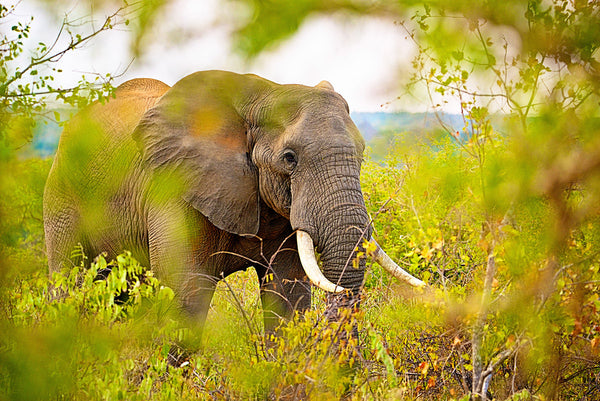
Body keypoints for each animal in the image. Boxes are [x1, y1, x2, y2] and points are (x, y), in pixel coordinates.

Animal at [42, 70, 424, 336]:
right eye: (289, 158)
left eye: (362, 155)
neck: (263, 93)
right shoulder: (176, 189)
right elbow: (185, 296)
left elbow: (287, 297)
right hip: (61, 197)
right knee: (71, 287)